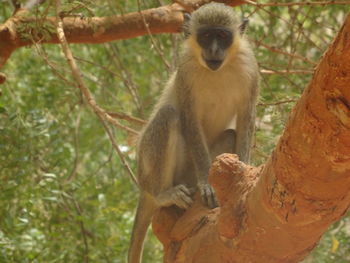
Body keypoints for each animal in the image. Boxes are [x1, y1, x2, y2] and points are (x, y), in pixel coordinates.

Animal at [127, 2, 258, 263]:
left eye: (223, 36)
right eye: (206, 36)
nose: (214, 50)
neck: (220, 69)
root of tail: (143, 187)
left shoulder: (251, 70)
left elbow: (246, 120)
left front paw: (244, 172)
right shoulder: (186, 72)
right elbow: (190, 120)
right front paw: (207, 184)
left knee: (229, 135)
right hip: (149, 167)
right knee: (168, 115)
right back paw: (162, 195)